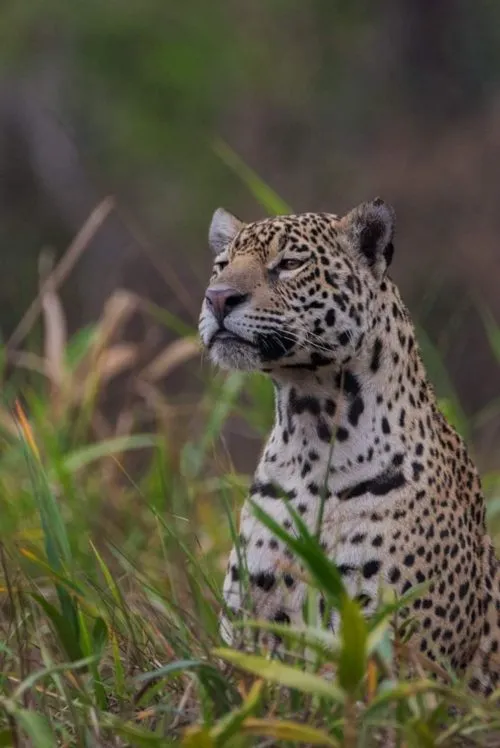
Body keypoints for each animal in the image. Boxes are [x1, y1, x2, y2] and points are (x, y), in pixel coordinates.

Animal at [198, 197, 500, 694]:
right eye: (221, 266)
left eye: (290, 264)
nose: (218, 298)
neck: (310, 430)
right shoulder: (248, 622)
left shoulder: (396, 646)